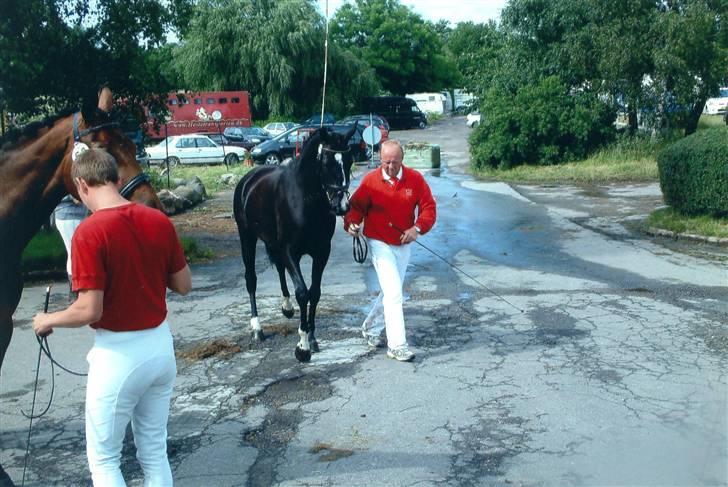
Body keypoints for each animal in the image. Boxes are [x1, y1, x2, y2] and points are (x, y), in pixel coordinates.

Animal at [235, 124, 356, 364]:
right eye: (327, 163)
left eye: (349, 161)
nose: (342, 206)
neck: (306, 199)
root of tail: (248, 179)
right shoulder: (290, 251)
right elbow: (303, 292)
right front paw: (302, 347)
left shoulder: (321, 252)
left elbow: (315, 292)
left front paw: (312, 338)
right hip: (247, 238)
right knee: (251, 279)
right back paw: (257, 329)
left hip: (273, 243)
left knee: (280, 268)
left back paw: (287, 307)